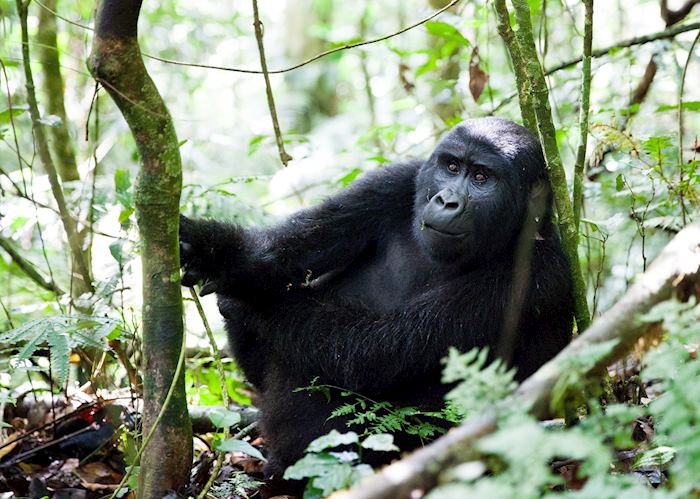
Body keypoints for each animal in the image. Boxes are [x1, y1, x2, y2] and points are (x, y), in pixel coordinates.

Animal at [180, 118, 576, 480]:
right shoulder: (395, 182)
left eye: (481, 177)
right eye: (451, 167)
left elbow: (365, 352)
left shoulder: (540, 272)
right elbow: (279, 256)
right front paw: (219, 253)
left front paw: (253, 303)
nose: (447, 200)